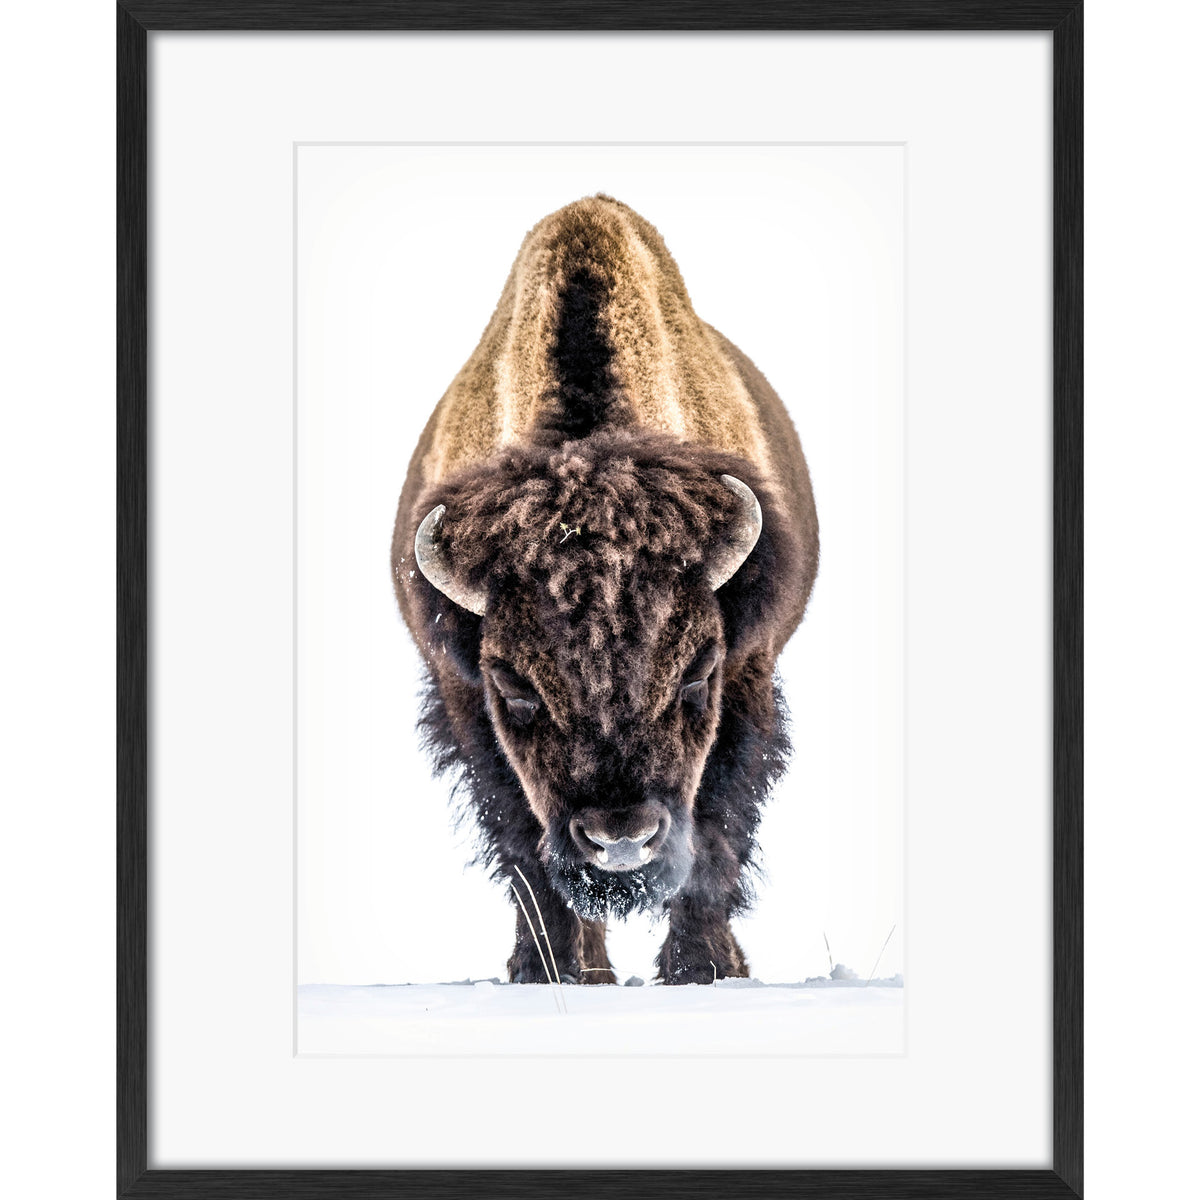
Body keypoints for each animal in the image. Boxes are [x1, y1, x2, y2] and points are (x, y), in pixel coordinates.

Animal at [392, 195, 818, 984]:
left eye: (698, 674)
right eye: (515, 687)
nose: (620, 839)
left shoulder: (749, 673)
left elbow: (716, 832)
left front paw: (700, 969)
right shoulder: (463, 698)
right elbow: (525, 850)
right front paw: (549, 972)